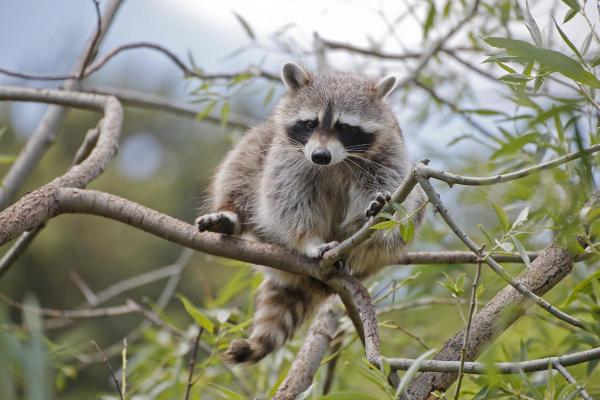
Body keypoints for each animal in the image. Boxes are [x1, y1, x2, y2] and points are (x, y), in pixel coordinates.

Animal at [197, 61, 426, 362]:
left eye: (345, 127)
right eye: (309, 124)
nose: (320, 156)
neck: (333, 164)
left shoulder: (387, 153)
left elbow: (395, 194)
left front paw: (375, 211)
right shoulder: (289, 156)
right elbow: (288, 198)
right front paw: (309, 240)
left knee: (416, 205)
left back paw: (355, 251)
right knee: (247, 154)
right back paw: (230, 215)